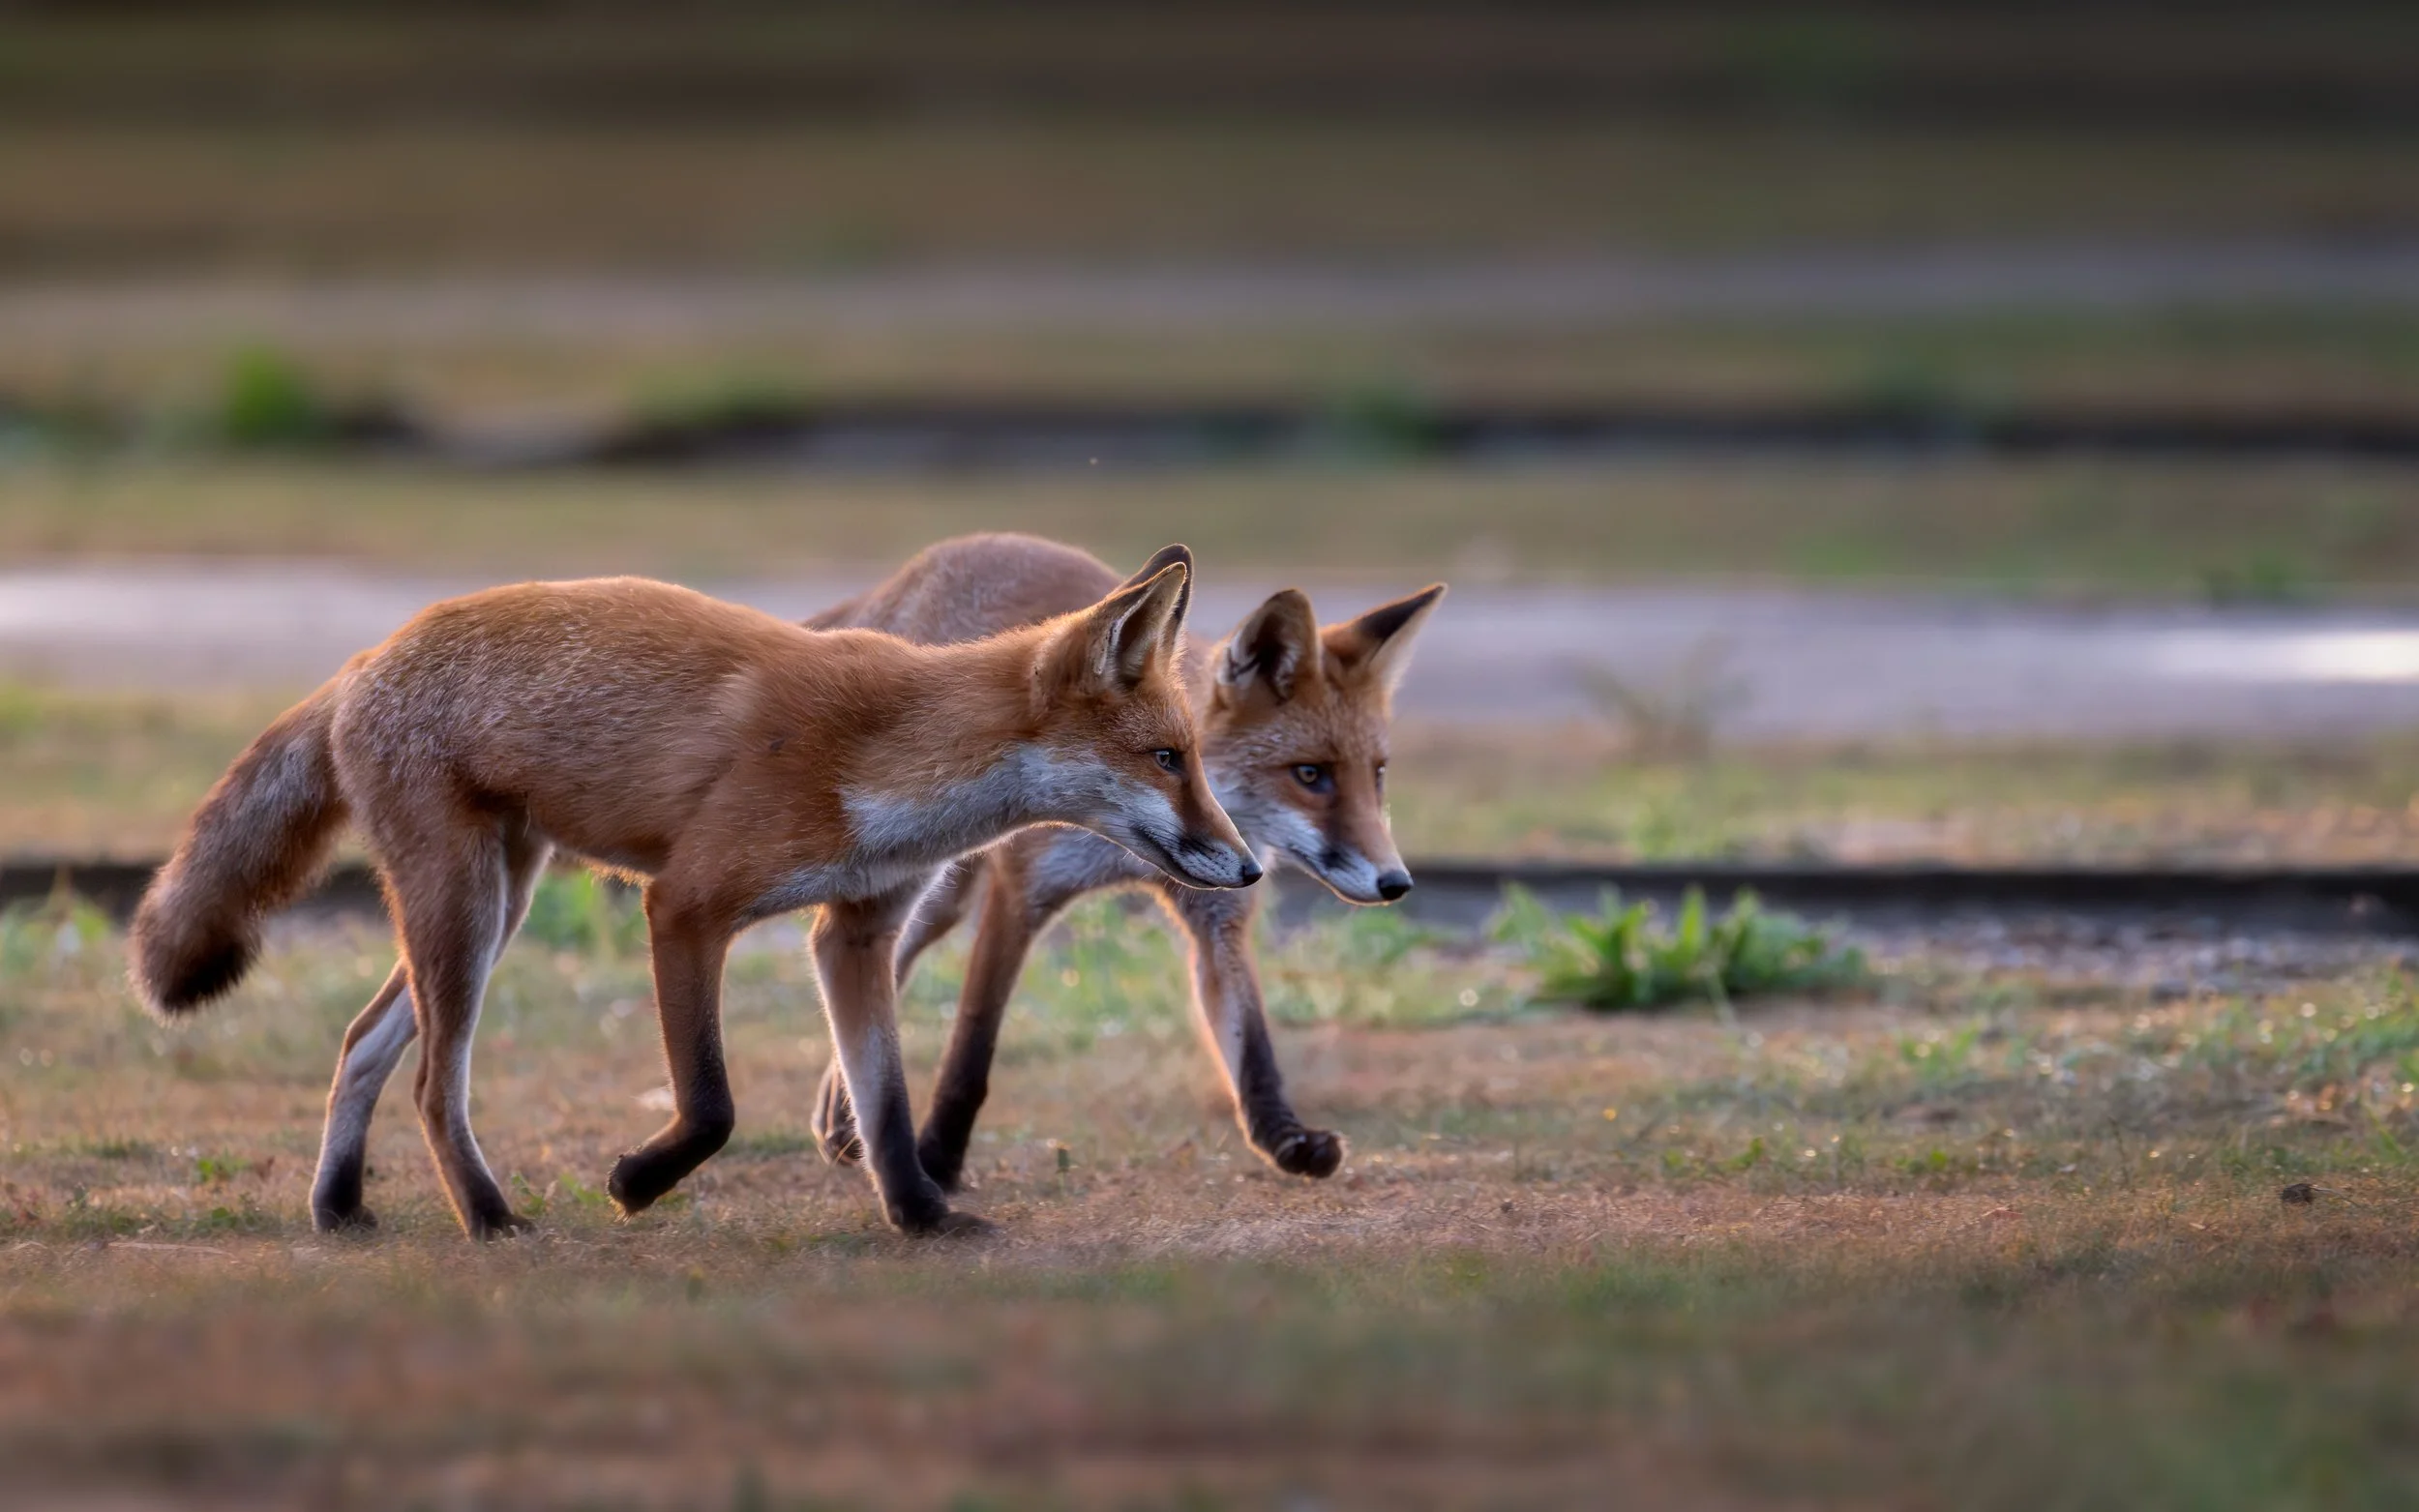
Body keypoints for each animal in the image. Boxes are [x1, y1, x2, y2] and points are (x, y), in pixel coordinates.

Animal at [128, 554, 1257, 1242]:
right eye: (1168, 758)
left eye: (1197, 758)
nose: (1249, 868)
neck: (884, 756)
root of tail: (369, 654)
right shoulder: (684, 906)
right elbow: (711, 1105)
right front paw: (637, 1183)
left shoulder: (855, 931)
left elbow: (886, 1106)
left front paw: (923, 1218)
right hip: (463, 909)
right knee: (430, 1086)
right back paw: (489, 1219)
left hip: (493, 909)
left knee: (363, 1042)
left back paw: (339, 1206)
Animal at [804, 533, 1443, 1189]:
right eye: (1310, 774)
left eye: (1378, 774)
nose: (1396, 882)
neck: (1127, 840)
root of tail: (932, 559)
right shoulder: (1022, 895)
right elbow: (971, 1053)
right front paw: (936, 1159)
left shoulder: (1219, 915)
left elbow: (1253, 1050)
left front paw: (1285, 1140)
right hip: (939, 880)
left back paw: (844, 1119)